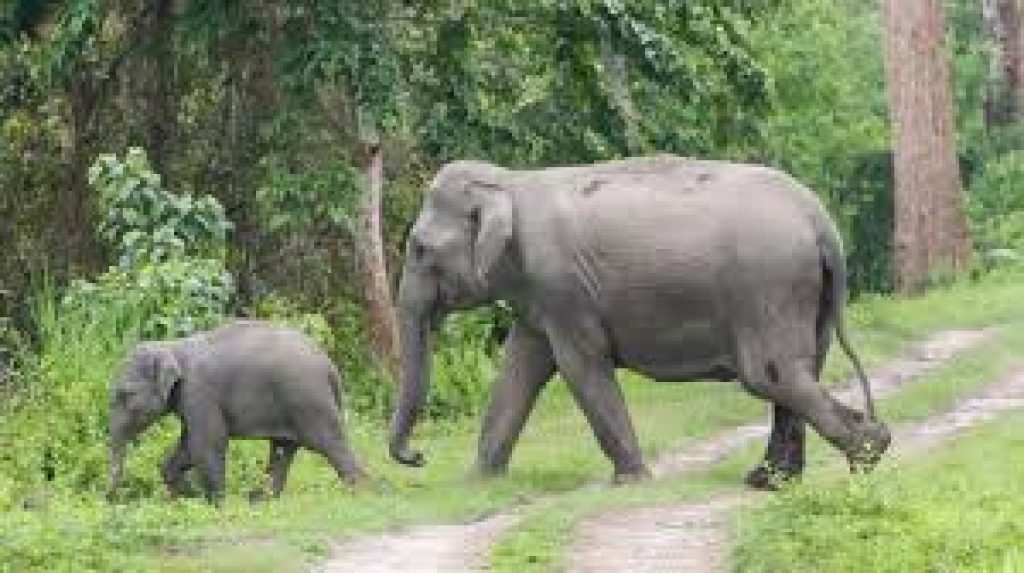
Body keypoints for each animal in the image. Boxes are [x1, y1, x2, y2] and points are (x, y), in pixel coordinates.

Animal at [107, 320, 366, 504]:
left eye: (125, 395)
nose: (110, 499)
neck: (172, 346)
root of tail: (330, 366)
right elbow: (188, 446)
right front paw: (190, 496)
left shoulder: (200, 393)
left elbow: (206, 444)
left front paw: (216, 504)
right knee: (282, 449)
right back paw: (260, 500)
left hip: (309, 400)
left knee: (329, 442)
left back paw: (359, 493)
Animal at [388, 155, 891, 488]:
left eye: (419, 249)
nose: (418, 456)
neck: (510, 181)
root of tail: (820, 222)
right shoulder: (539, 297)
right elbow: (520, 370)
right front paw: (477, 482)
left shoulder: (563, 288)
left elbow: (579, 368)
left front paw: (631, 481)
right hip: (804, 296)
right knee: (798, 374)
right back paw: (770, 481)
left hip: (768, 287)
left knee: (773, 376)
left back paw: (868, 453)